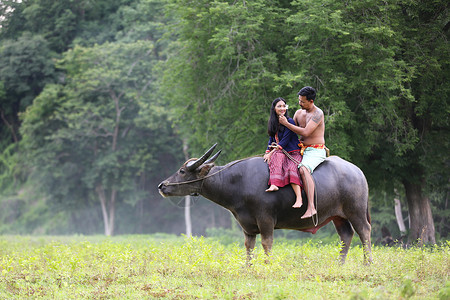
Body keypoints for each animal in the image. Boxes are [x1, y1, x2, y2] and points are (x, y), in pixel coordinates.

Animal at [158, 144, 372, 264]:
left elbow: (266, 243)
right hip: (338, 216)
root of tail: (358, 172)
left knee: (364, 232)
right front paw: (248, 267)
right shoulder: (247, 225)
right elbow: (249, 246)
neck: (238, 181)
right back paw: (340, 264)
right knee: (346, 236)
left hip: (356, 211)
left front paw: (267, 266)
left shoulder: (266, 218)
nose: (162, 185)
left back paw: (367, 263)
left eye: (182, 171)